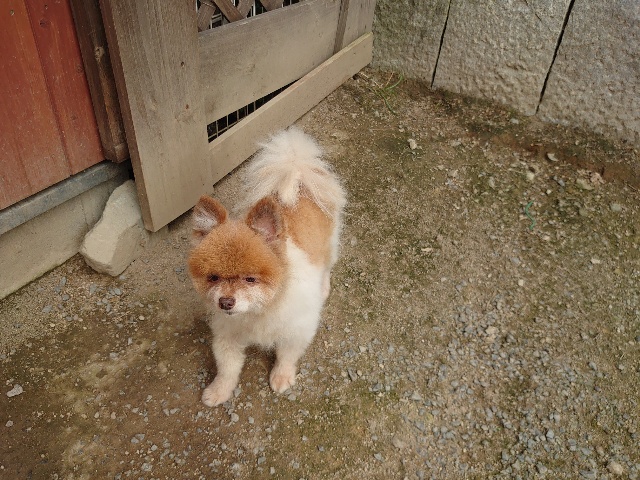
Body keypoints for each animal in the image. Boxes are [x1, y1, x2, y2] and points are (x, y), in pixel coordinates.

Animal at [188, 128, 346, 406]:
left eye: (251, 279)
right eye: (213, 277)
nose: (225, 302)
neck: (261, 310)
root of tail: (298, 172)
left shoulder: (297, 330)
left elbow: (286, 355)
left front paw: (282, 376)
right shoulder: (227, 335)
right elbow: (227, 367)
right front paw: (219, 391)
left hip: (330, 243)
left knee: (328, 265)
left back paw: (324, 287)